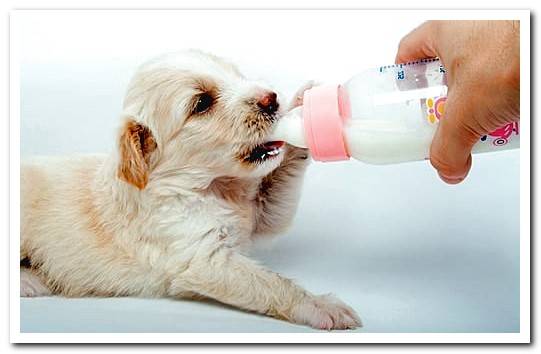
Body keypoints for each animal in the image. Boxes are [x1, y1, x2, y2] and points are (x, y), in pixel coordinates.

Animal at [21, 49, 360, 330]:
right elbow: (271, 283)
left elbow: (277, 189)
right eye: (202, 103)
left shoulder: (261, 215)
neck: (215, 187)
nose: (271, 99)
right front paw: (320, 306)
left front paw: (303, 111)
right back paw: (29, 281)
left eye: (235, 75)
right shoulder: (201, 258)